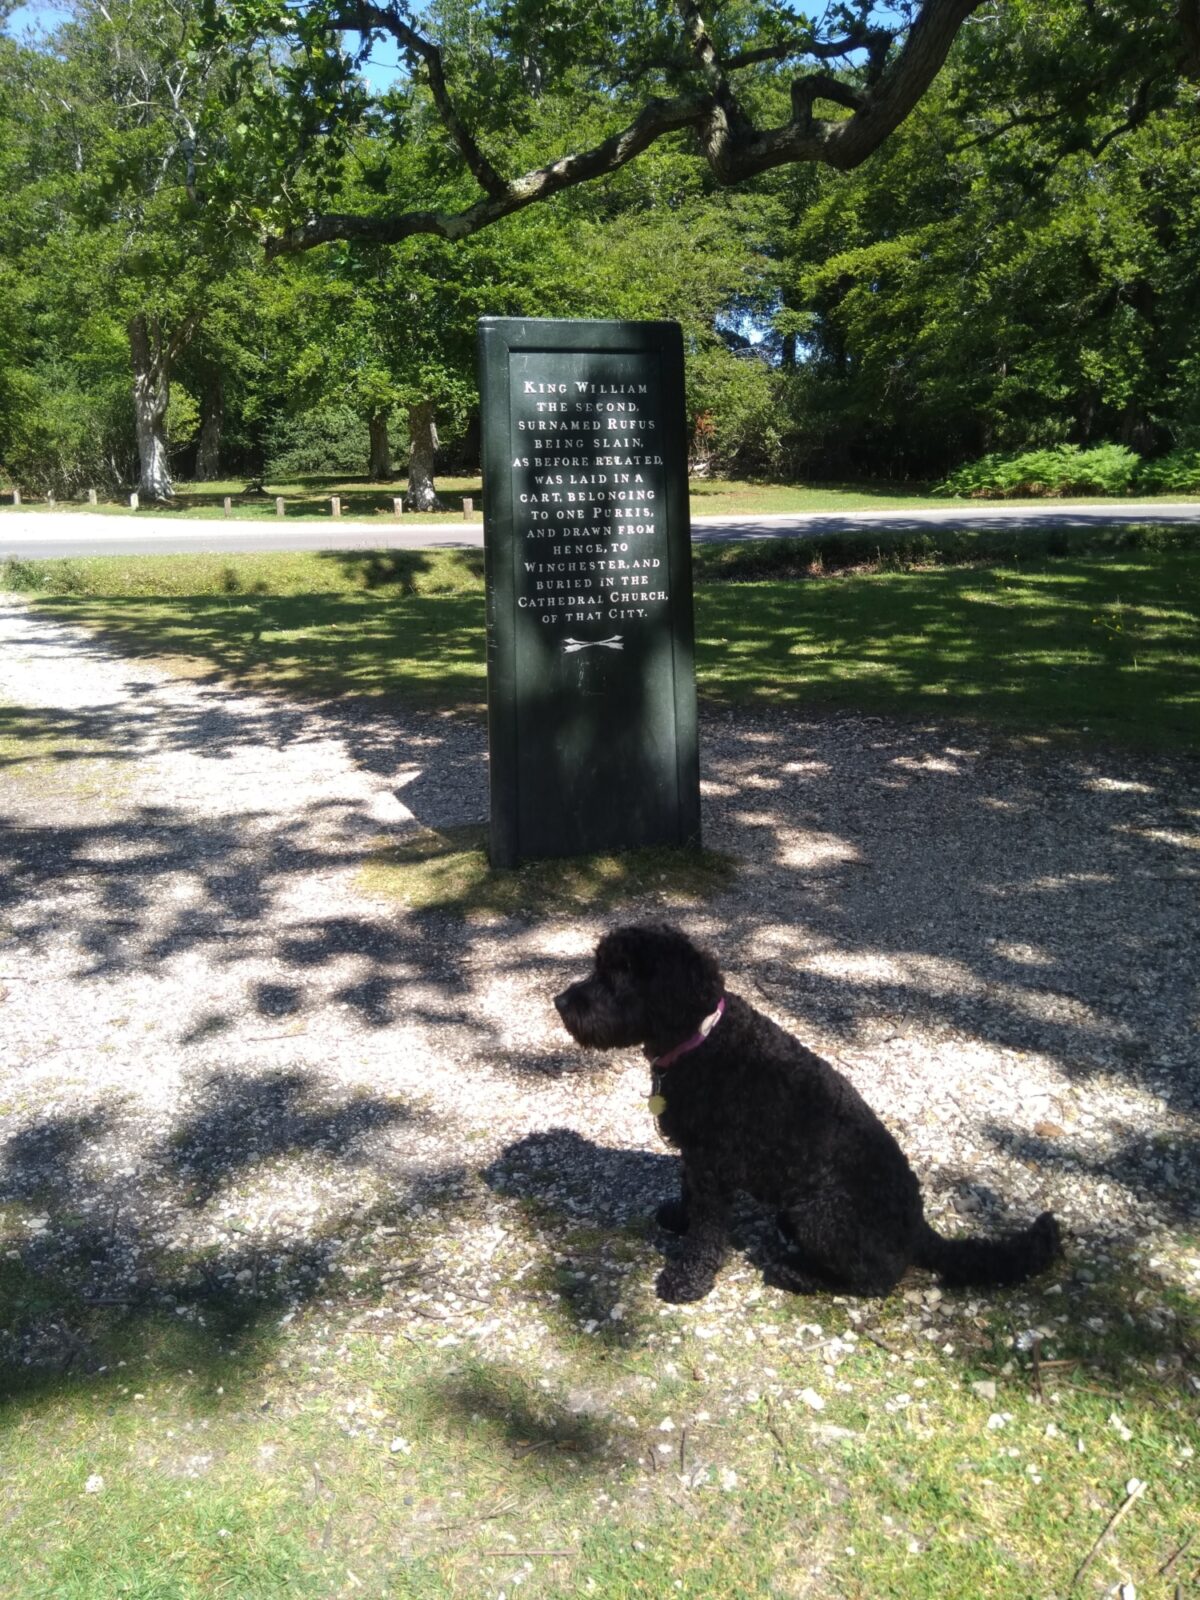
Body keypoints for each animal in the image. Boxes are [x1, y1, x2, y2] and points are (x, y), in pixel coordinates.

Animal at [553, 921, 1062, 1305]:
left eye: (617, 976)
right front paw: (680, 1217)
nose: (560, 1002)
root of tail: (919, 1228)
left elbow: (708, 1233)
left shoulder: (713, 1167)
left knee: (875, 1280)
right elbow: (690, 1198)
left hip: (821, 1215)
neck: (703, 1041)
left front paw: (688, 1279)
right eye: (598, 966)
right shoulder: (696, 1159)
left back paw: (794, 1273)